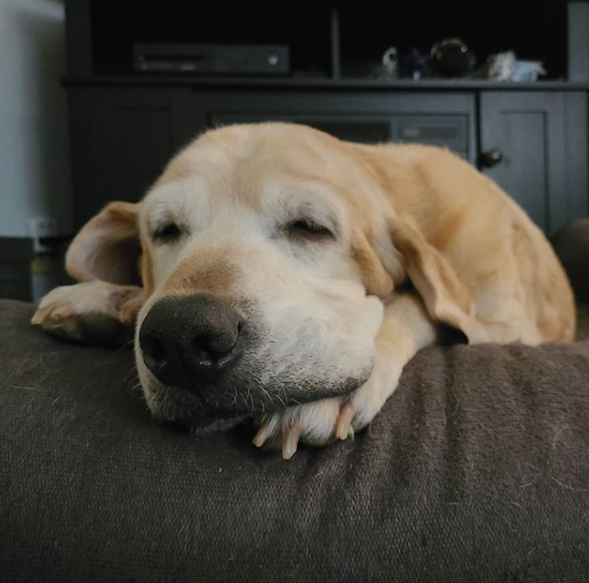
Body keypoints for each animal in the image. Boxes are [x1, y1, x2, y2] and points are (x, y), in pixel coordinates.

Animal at [32, 124, 576, 460]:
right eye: (166, 230)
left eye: (310, 227)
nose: (182, 337)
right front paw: (102, 298)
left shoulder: (506, 325)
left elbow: (415, 303)